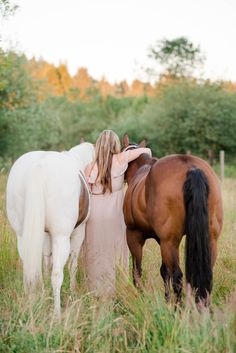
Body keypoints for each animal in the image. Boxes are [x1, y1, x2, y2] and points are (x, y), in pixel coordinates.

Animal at [5, 142, 94, 318]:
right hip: (61, 237)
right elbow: (72, 265)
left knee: (29, 270)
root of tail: (39, 164)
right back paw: (57, 314)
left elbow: (46, 261)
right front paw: (73, 291)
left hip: (22, 236)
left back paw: (32, 301)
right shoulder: (78, 233)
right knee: (57, 274)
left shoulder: (45, 234)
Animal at [122, 135, 224, 302]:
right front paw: (167, 299)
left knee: (178, 276)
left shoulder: (134, 235)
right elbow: (164, 271)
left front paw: (140, 295)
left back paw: (179, 307)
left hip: (169, 242)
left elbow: (137, 270)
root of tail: (191, 168)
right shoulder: (161, 240)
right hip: (209, 240)